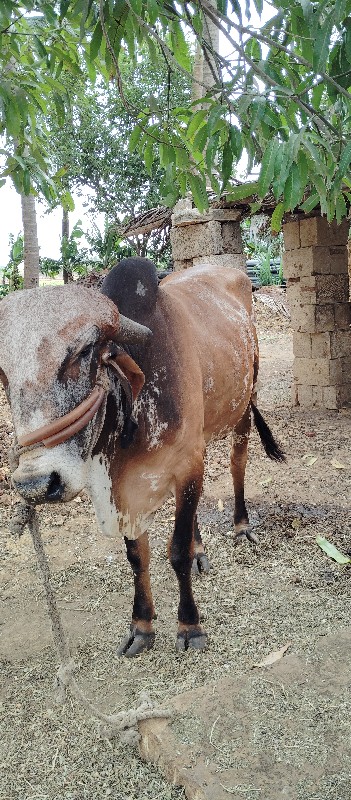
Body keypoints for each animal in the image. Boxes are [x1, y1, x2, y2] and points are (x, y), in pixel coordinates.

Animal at [0, 260, 286, 652]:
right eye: (2, 373)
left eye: (85, 351)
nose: (37, 484)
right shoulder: (127, 492)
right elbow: (138, 556)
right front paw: (142, 625)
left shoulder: (187, 465)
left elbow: (176, 551)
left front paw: (190, 626)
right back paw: (201, 547)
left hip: (244, 404)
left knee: (237, 463)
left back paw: (242, 526)